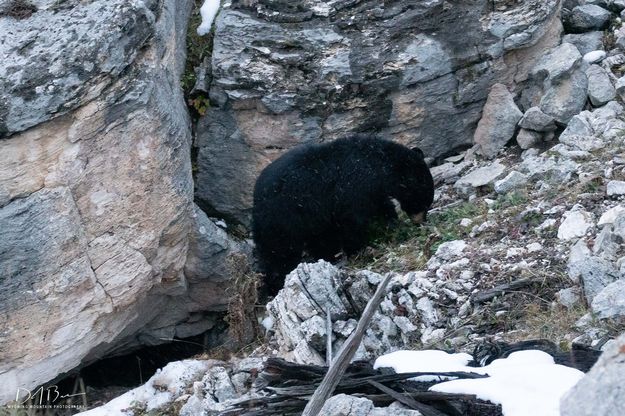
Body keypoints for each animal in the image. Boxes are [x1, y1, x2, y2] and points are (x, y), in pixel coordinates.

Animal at [251, 135, 432, 294]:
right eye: (424, 202)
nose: (421, 221)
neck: (378, 165)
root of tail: (255, 200)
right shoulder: (353, 188)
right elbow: (352, 220)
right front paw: (359, 249)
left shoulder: (373, 191)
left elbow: (382, 207)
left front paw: (392, 226)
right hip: (284, 217)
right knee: (280, 253)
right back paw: (274, 285)